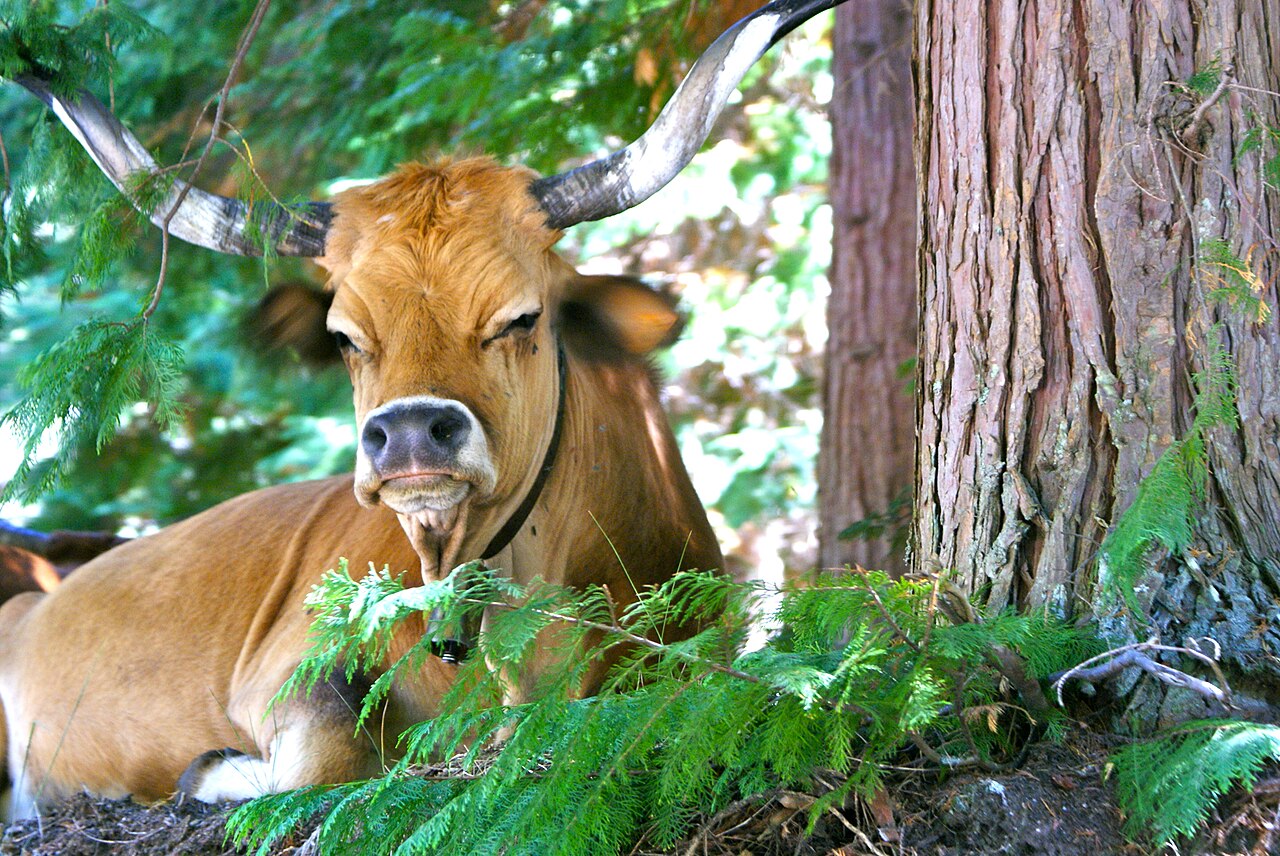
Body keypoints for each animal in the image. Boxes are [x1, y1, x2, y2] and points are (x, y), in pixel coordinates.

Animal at [0, 0, 840, 821]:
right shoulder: (289, 672)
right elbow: (325, 755)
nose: (408, 435)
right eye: (344, 337)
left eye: (522, 317)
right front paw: (216, 769)